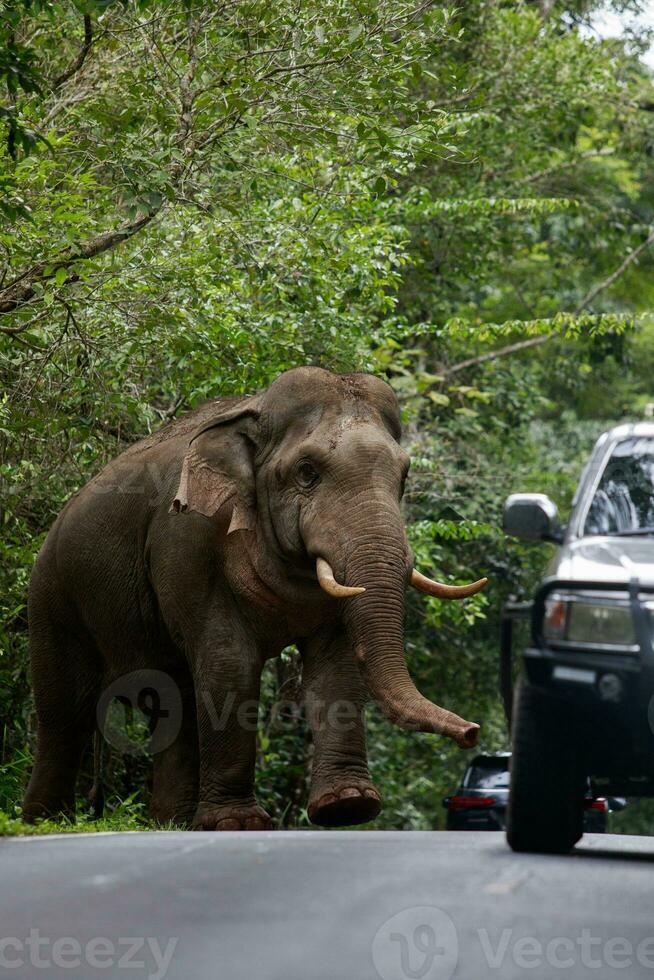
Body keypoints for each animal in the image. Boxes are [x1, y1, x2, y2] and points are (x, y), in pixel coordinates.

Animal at [23, 366, 486, 828]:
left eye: (404, 475)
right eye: (307, 471)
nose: (472, 733)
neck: (254, 410)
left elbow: (333, 663)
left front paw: (348, 806)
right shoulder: (189, 540)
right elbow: (228, 658)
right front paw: (238, 823)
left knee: (172, 702)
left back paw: (170, 822)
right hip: (51, 598)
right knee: (65, 713)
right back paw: (44, 821)